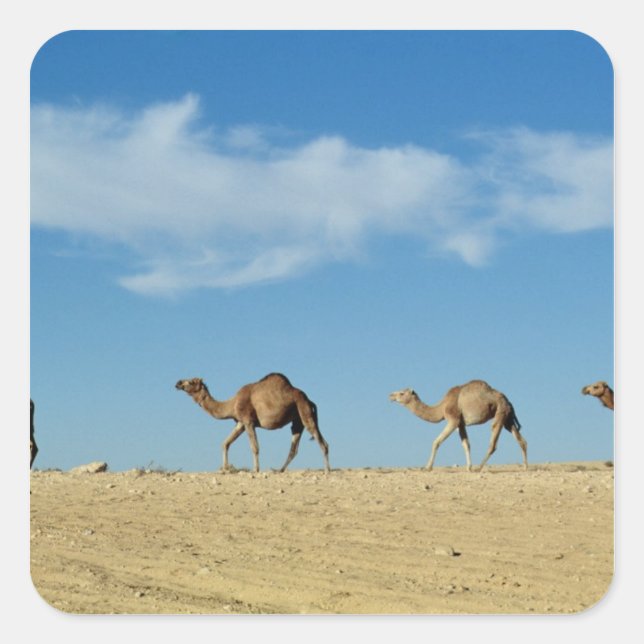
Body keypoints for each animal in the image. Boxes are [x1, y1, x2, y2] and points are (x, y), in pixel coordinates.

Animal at [175, 373, 330, 473]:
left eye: (191, 381)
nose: (178, 383)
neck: (232, 404)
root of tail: (309, 400)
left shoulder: (248, 421)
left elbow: (254, 447)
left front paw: (255, 469)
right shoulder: (240, 423)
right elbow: (225, 443)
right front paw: (224, 469)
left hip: (304, 411)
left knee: (321, 441)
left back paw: (327, 470)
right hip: (297, 420)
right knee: (294, 447)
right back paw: (279, 470)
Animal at [389, 379, 528, 472]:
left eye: (401, 393)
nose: (390, 395)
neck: (441, 407)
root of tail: (508, 401)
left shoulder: (453, 420)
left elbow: (436, 442)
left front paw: (427, 467)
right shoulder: (461, 424)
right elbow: (466, 444)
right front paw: (468, 467)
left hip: (500, 412)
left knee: (493, 442)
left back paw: (479, 467)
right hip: (507, 417)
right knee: (521, 439)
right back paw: (525, 467)